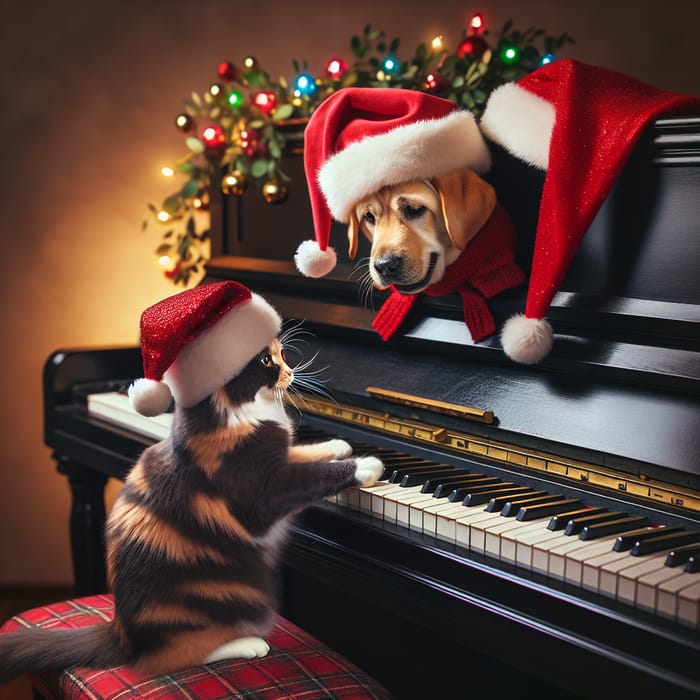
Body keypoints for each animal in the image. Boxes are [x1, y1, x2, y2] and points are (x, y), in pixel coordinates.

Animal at [0, 336, 382, 680]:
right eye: (267, 361)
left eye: (282, 354)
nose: (290, 370)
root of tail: (121, 632)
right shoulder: (263, 490)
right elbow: (309, 476)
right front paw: (367, 465)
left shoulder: (278, 454)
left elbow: (301, 451)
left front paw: (339, 443)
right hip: (238, 597)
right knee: (170, 658)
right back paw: (248, 644)